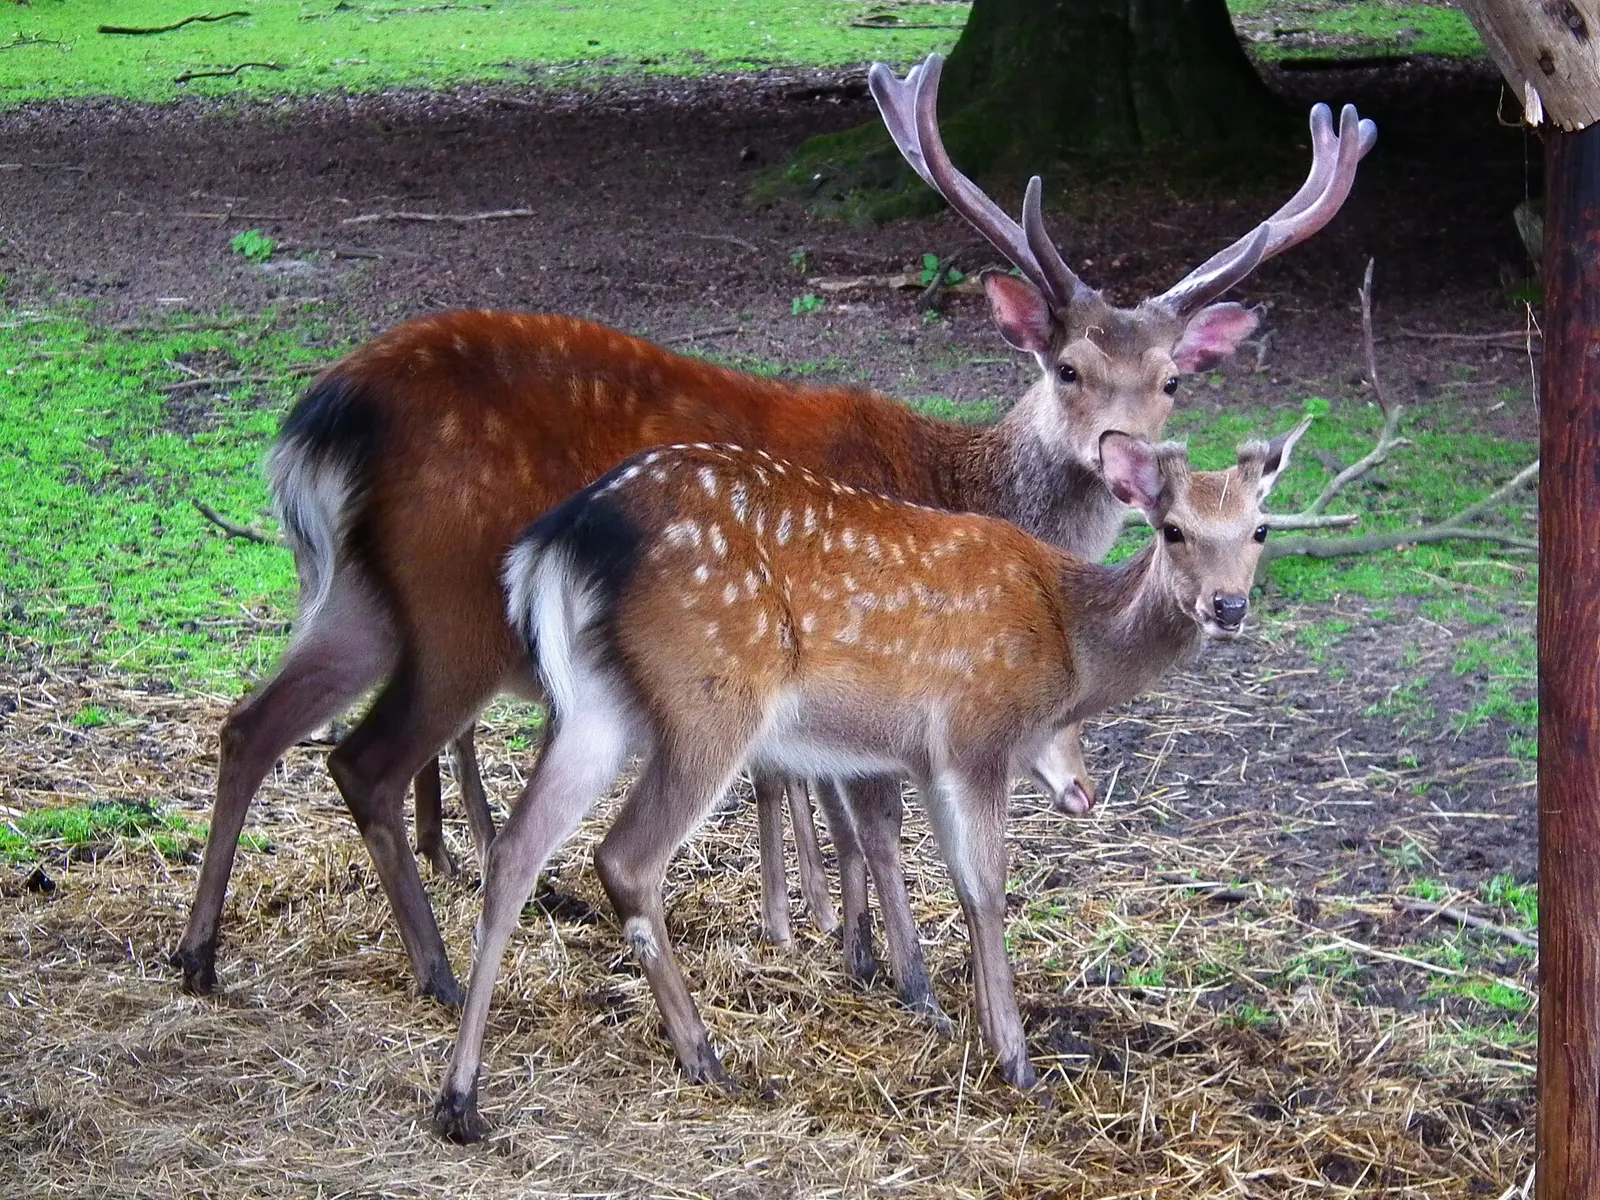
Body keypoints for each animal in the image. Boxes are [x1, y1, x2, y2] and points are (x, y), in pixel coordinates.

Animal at [170, 50, 1372, 1011]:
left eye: (1172, 379)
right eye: (1066, 367)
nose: (1127, 463)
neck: (957, 480)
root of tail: (321, 418)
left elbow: (803, 792)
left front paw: (814, 933)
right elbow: (858, 815)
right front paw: (878, 961)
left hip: (358, 595)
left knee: (255, 725)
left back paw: (201, 952)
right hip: (452, 597)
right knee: (364, 759)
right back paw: (436, 971)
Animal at [431, 420, 1308, 1140]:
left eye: (1260, 528)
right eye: (1174, 528)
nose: (1228, 606)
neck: (1068, 640)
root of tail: (560, 540)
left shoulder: (919, 757)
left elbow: (936, 874)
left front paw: (949, 1015)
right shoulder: (975, 736)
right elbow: (985, 889)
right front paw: (1015, 1059)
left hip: (594, 705)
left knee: (517, 848)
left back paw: (461, 1099)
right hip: (711, 694)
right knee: (624, 857)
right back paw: (705, 1056)